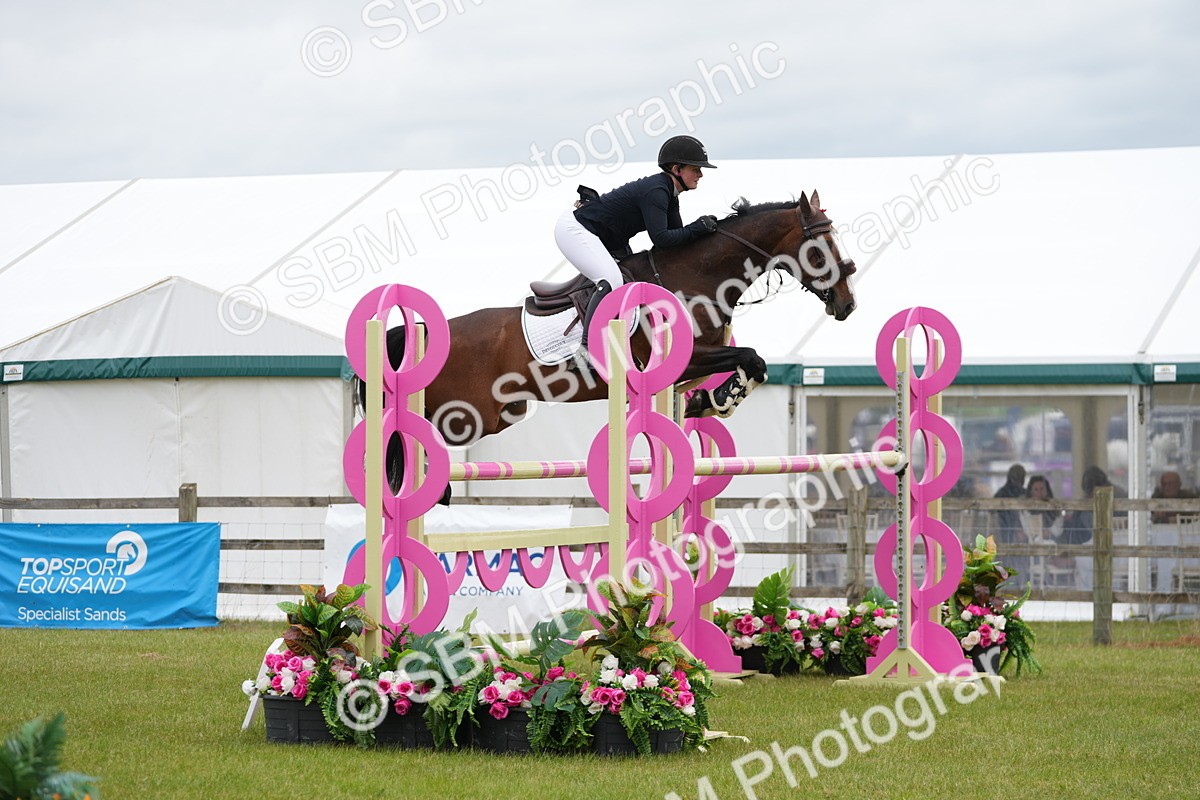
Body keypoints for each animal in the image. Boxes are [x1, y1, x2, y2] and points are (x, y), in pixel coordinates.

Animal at [365, 190, 856, 450]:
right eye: (819, 249)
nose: (848, 304)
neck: (695, 277)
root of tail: (423, 331)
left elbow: (750, 363)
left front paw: (709, 401)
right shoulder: (684, 358)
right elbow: (751, 358)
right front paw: (717, 400)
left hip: (500, 414)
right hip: (467, 416)